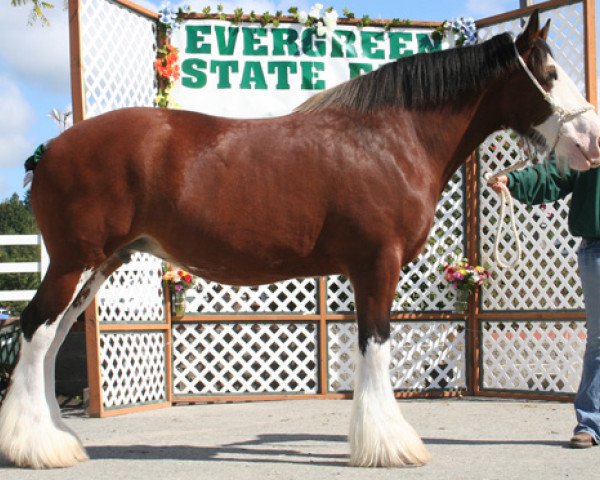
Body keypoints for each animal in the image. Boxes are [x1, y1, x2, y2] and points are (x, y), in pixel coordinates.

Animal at [1, 11, 600, 468]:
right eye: (549, 73)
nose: (590, 141)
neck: (392, 138)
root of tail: (50, 150)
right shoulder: (376, 265)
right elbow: (376, 347)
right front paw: (389, 446)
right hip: (75, 262)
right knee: (34, 331)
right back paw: (38, 448)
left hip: (97, 266)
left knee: (51, 340)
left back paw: (56, 439)